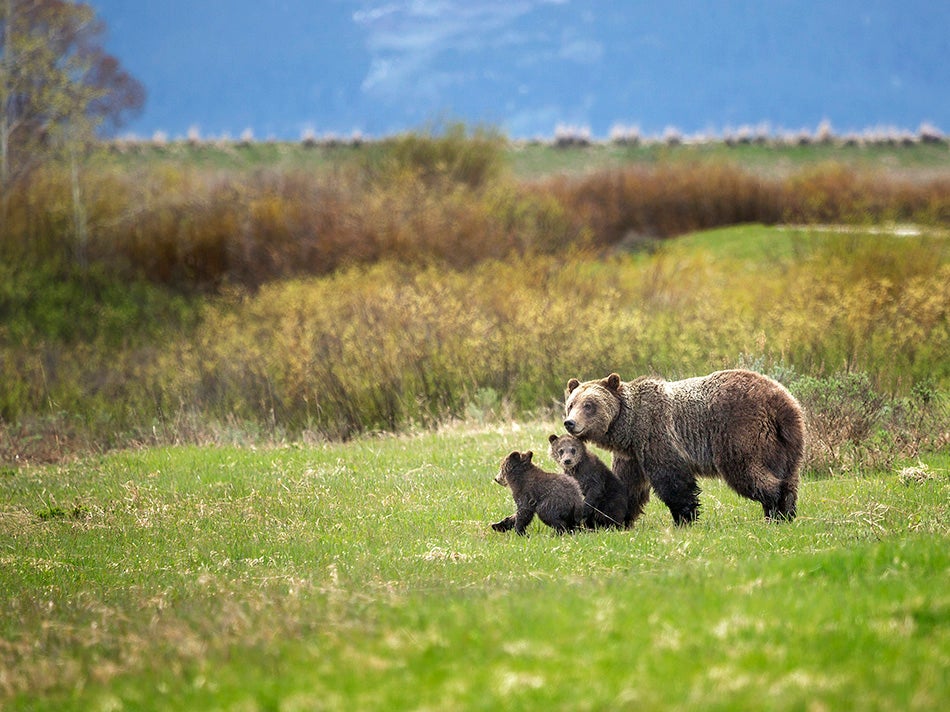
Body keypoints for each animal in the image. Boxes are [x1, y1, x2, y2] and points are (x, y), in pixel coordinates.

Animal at [568, 370, 808, 524]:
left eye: (589, 405)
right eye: (571, 404)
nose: (570, 423)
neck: (628, 426)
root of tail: (779, 401)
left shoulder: (656, 434)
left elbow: (672, 480)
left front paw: (684, 517)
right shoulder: (633, 454)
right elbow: (626, 484)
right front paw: (608, 519)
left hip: (740, 430)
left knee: (746, 470)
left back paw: (777, 508)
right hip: (787, 442)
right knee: (788, 475)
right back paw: (786, 511)